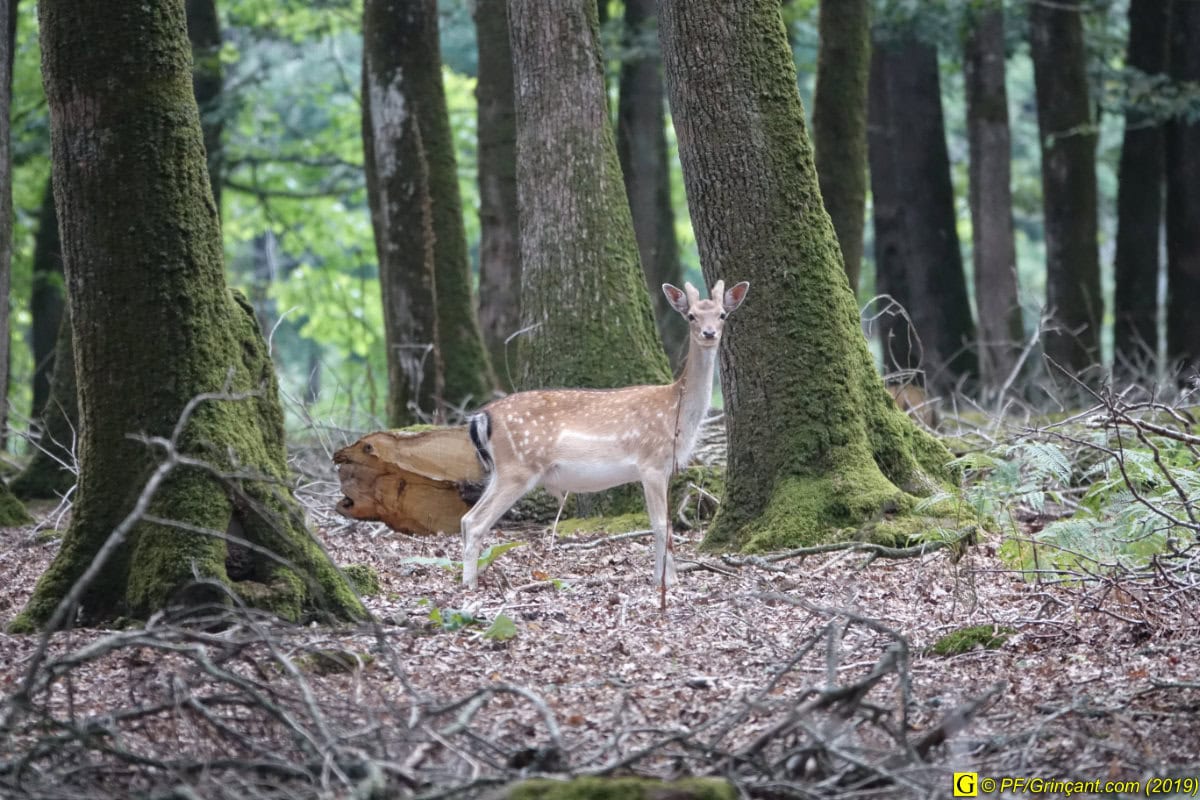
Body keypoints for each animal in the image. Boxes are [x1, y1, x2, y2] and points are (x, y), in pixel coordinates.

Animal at [460, 278, 748, 604]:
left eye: (722, 314)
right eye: (691, 316)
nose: (709, 333)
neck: (677, 415)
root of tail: (481, 416)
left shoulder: (666, 469)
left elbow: (667, 522)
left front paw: (665, 578)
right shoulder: (651, 463)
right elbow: (660, 523)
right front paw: (667, 582)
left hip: (501, 470)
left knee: (467, 519)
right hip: (518, 468)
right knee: (477, 522)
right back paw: (469, 585)